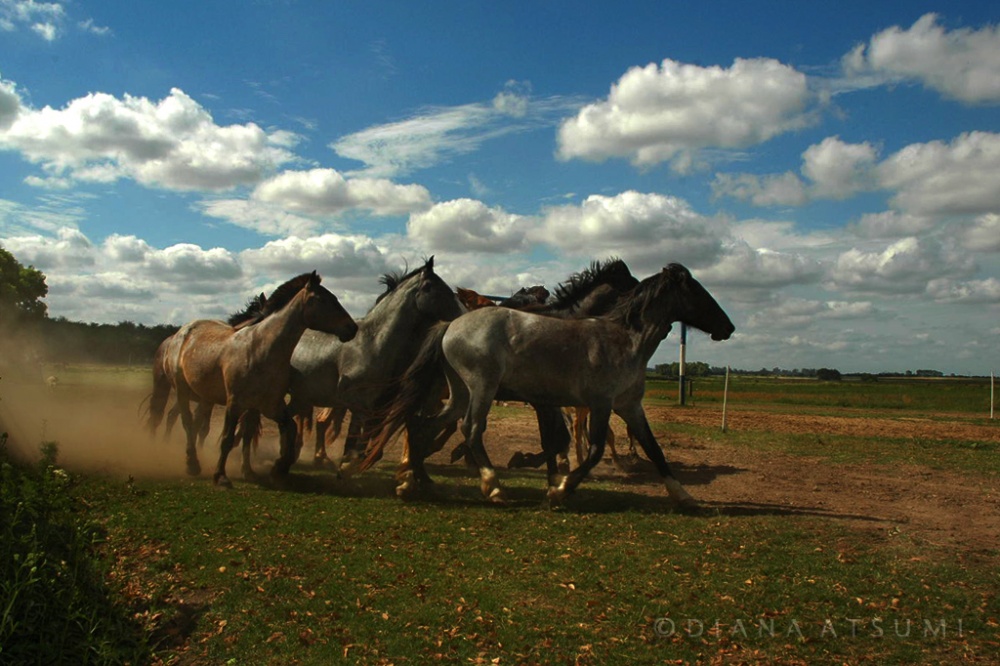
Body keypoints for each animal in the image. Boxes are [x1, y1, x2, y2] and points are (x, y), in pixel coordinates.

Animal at [146, 272, 354, 486]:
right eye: (323, 299)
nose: (352, 328)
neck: (260, 349)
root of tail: (181, 333)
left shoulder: (268, 406)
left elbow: (280, 429)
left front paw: (274, 469)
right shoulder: (235, 403)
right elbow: (227, 438)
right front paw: (221, 476)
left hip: (205, 398)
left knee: (192, 424)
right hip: (180, 391)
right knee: (182, 421)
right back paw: (190, 463)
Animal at [288, 256, 462, 464]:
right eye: (433, 287)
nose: (462, 315)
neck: (372, 343)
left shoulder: (380, 404)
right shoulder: (358, 403)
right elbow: (356, 438)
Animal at [362, 262, 736, 506]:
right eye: (697, 291)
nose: (728, 327)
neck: (624, 339)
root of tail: (450, 325)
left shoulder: (629, 407)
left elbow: (653, 448)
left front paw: (684, 495)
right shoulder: (596, 404)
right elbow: (589, 449)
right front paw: (559, 490)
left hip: (459, 393)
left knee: (423, 425)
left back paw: (415, 482)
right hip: (481, 388)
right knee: (468, 428)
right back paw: (492, 487)